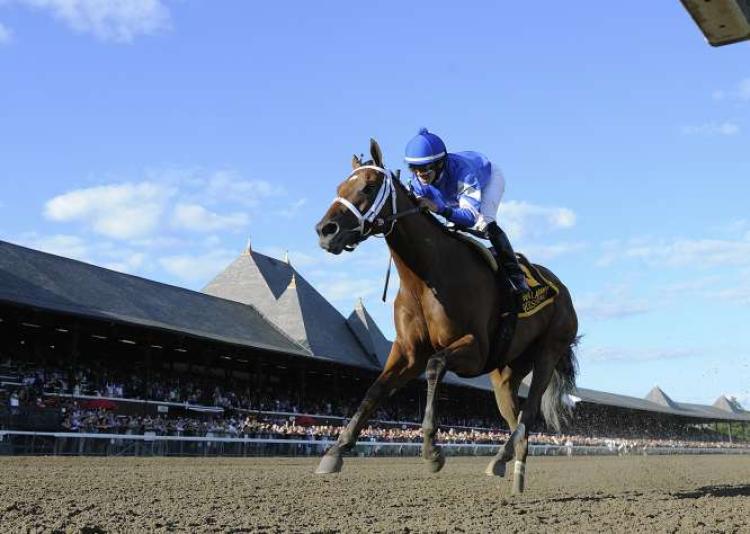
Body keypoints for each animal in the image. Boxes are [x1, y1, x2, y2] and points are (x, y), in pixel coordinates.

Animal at [314, 139, 579, 494]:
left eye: (368, 186)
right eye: (340, 187)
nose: (325, 231)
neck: (426, 276)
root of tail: (562, 288)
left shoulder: (474, 350)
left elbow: (435, 366)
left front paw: (431, 450)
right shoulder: (408, 351)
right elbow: (374, 390)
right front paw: (336, 450)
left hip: (548, 351)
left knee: (530, 411)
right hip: (505, 371)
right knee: (515, 418)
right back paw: (505, 465)